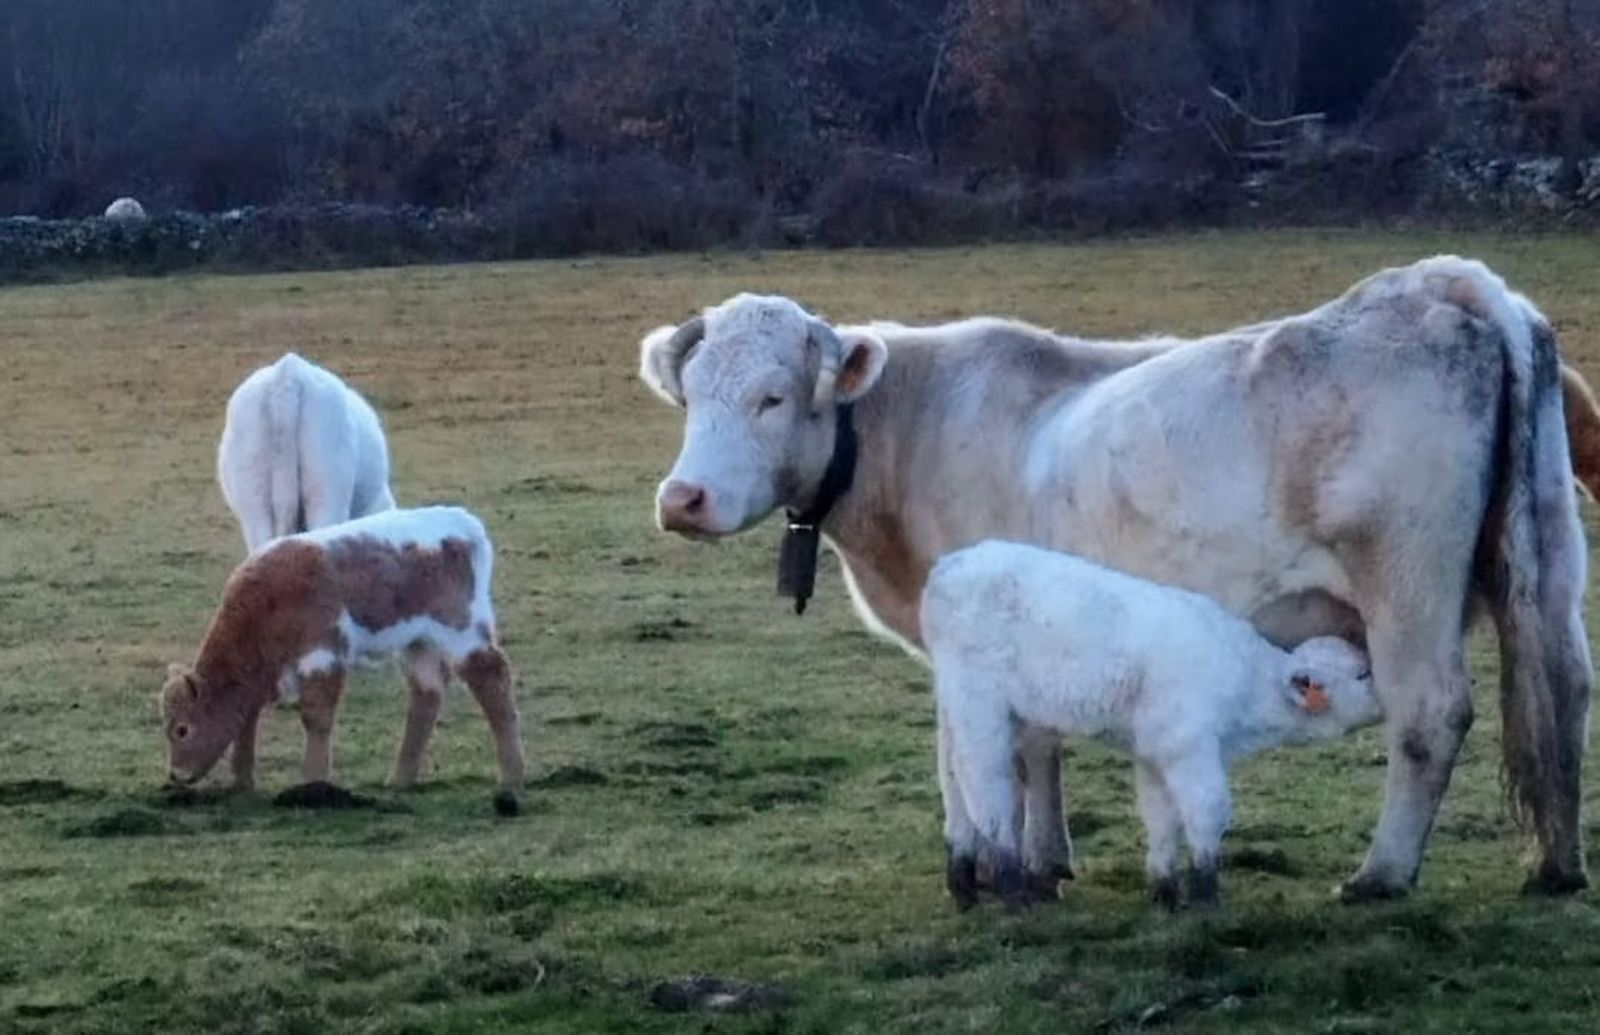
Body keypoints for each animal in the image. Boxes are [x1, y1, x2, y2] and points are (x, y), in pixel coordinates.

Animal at [160, 505, 525, 815]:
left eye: (182, 729)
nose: (177, 775)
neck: (267, 604)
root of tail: (463, 522)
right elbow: (247, 721)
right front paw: (241, 782)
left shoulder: (322, 654)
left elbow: (315, 716)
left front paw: (312, 785)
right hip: (417, 642)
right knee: (427, 694)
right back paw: (401, 778)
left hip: (463, 631)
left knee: (493, 680)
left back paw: (511, 776)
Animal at [639, 256, 1592, 901]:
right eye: (689, 395)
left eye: (771, 396)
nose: (682, 499)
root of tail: (1436, 284)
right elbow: (1041, 745)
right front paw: (1050, 855)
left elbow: (1018, 749)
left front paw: (1023, 864)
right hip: (1547, 566)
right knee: (1565, 692)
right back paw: (1557, 863)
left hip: (1405, 584)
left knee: (1429, 712)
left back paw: (1382, 873)